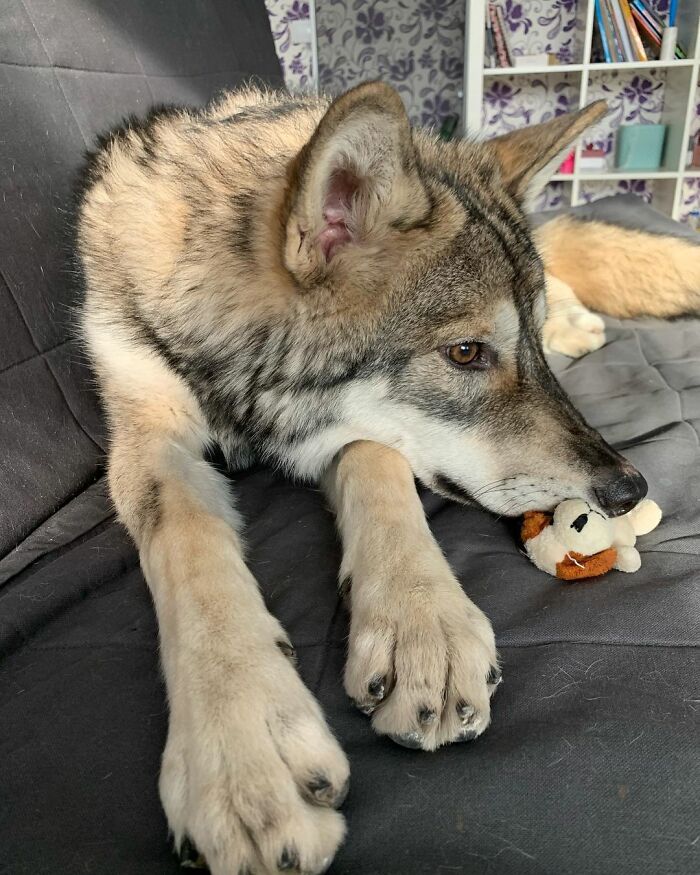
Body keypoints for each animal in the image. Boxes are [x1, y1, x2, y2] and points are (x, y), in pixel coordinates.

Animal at [76, 82, 700, 875]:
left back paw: (579, 320)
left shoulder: (360, 437)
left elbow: (379, 468)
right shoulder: (147, 435)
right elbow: (192, 548)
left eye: (522, 343)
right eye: (466, 352)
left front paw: (420, 625)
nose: (629, 490)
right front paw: (242, 751)